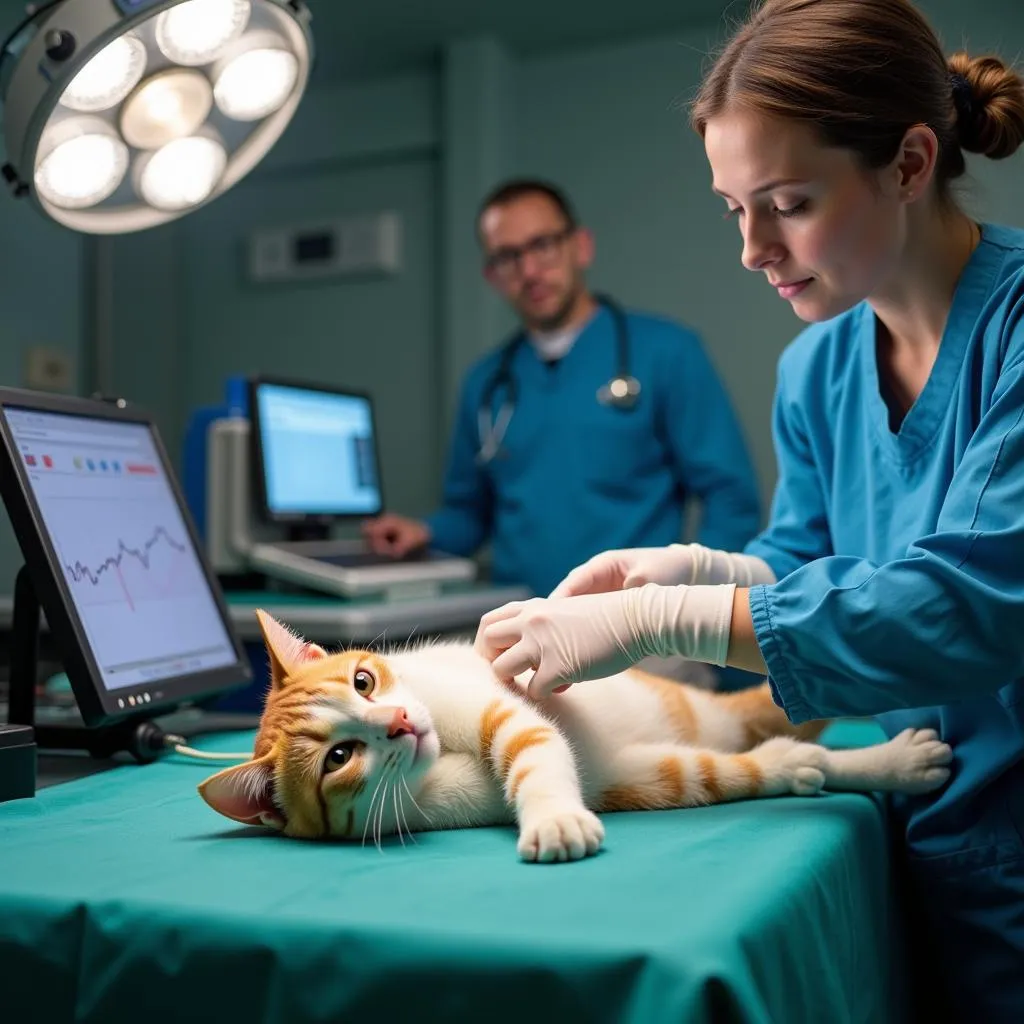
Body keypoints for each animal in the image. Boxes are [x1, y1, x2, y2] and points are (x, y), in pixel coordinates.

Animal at [197, 610, 950, 860]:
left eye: (363, 682)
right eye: (339, 757)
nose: (402, 723)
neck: (438, 760)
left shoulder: (497, 707)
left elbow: (533, 752)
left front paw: (555, 818)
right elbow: (543, 764)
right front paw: (558, 819)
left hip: (699, 718)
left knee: (792, 706)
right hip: (664, 774)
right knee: (787, 758)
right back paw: (875, 763)